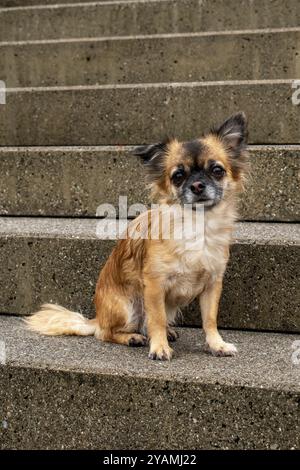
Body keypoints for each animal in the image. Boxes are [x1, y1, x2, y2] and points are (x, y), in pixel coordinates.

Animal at [25, 112, 248, 362]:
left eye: (217, 170)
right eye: (178, 176)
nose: (198, 185)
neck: (196, 224)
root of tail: (97, 318)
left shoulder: (212, 284)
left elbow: (209, 320)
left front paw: (216, 344)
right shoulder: (154, 285)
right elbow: (156, 319)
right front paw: (159, 348)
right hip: (128, 307)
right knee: (106, 333)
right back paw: (132, 337)